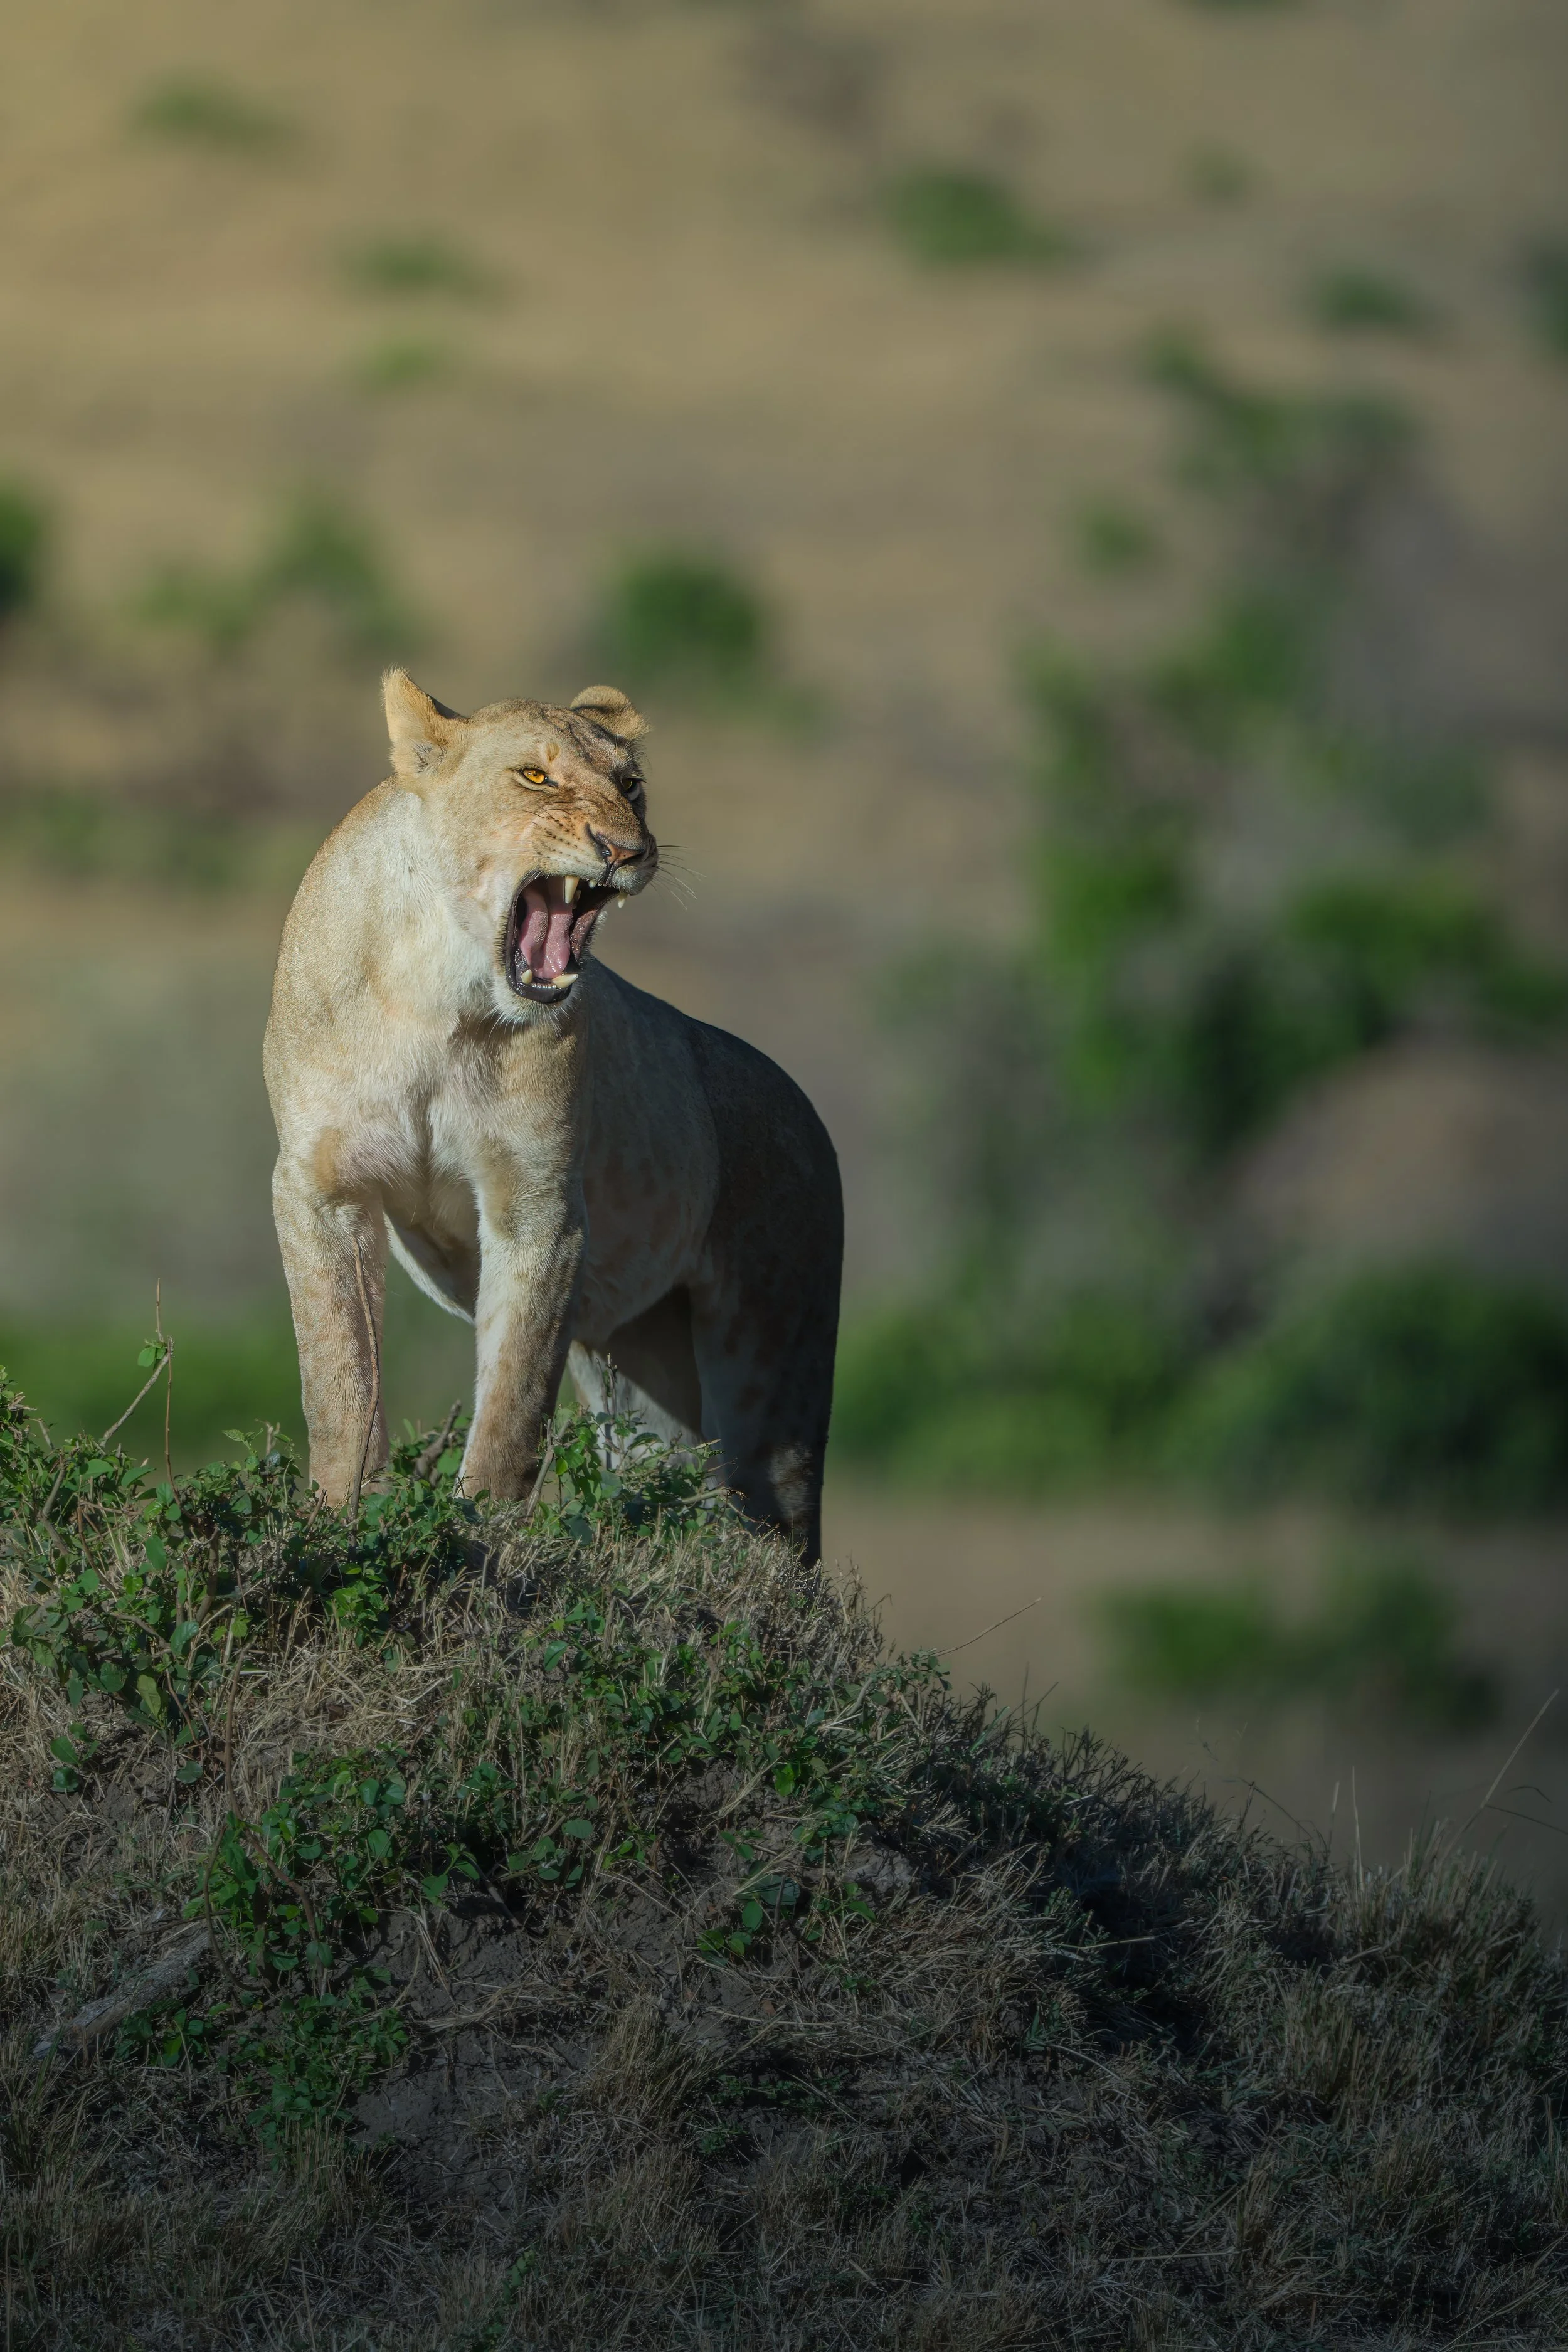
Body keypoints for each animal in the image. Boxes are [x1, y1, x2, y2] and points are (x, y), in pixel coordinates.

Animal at [263, 670, 842, 1560]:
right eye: (535, 777)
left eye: (631, 787)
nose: (628, 851)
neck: (437, 988)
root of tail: (806, 1107)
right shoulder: (320, 1188)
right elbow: (340, 1379)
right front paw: (335, 1520)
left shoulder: (537, 1209)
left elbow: (511, 1406)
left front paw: (479, 1540)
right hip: (640, 1373)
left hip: (776, 1359)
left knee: (778, 1524)